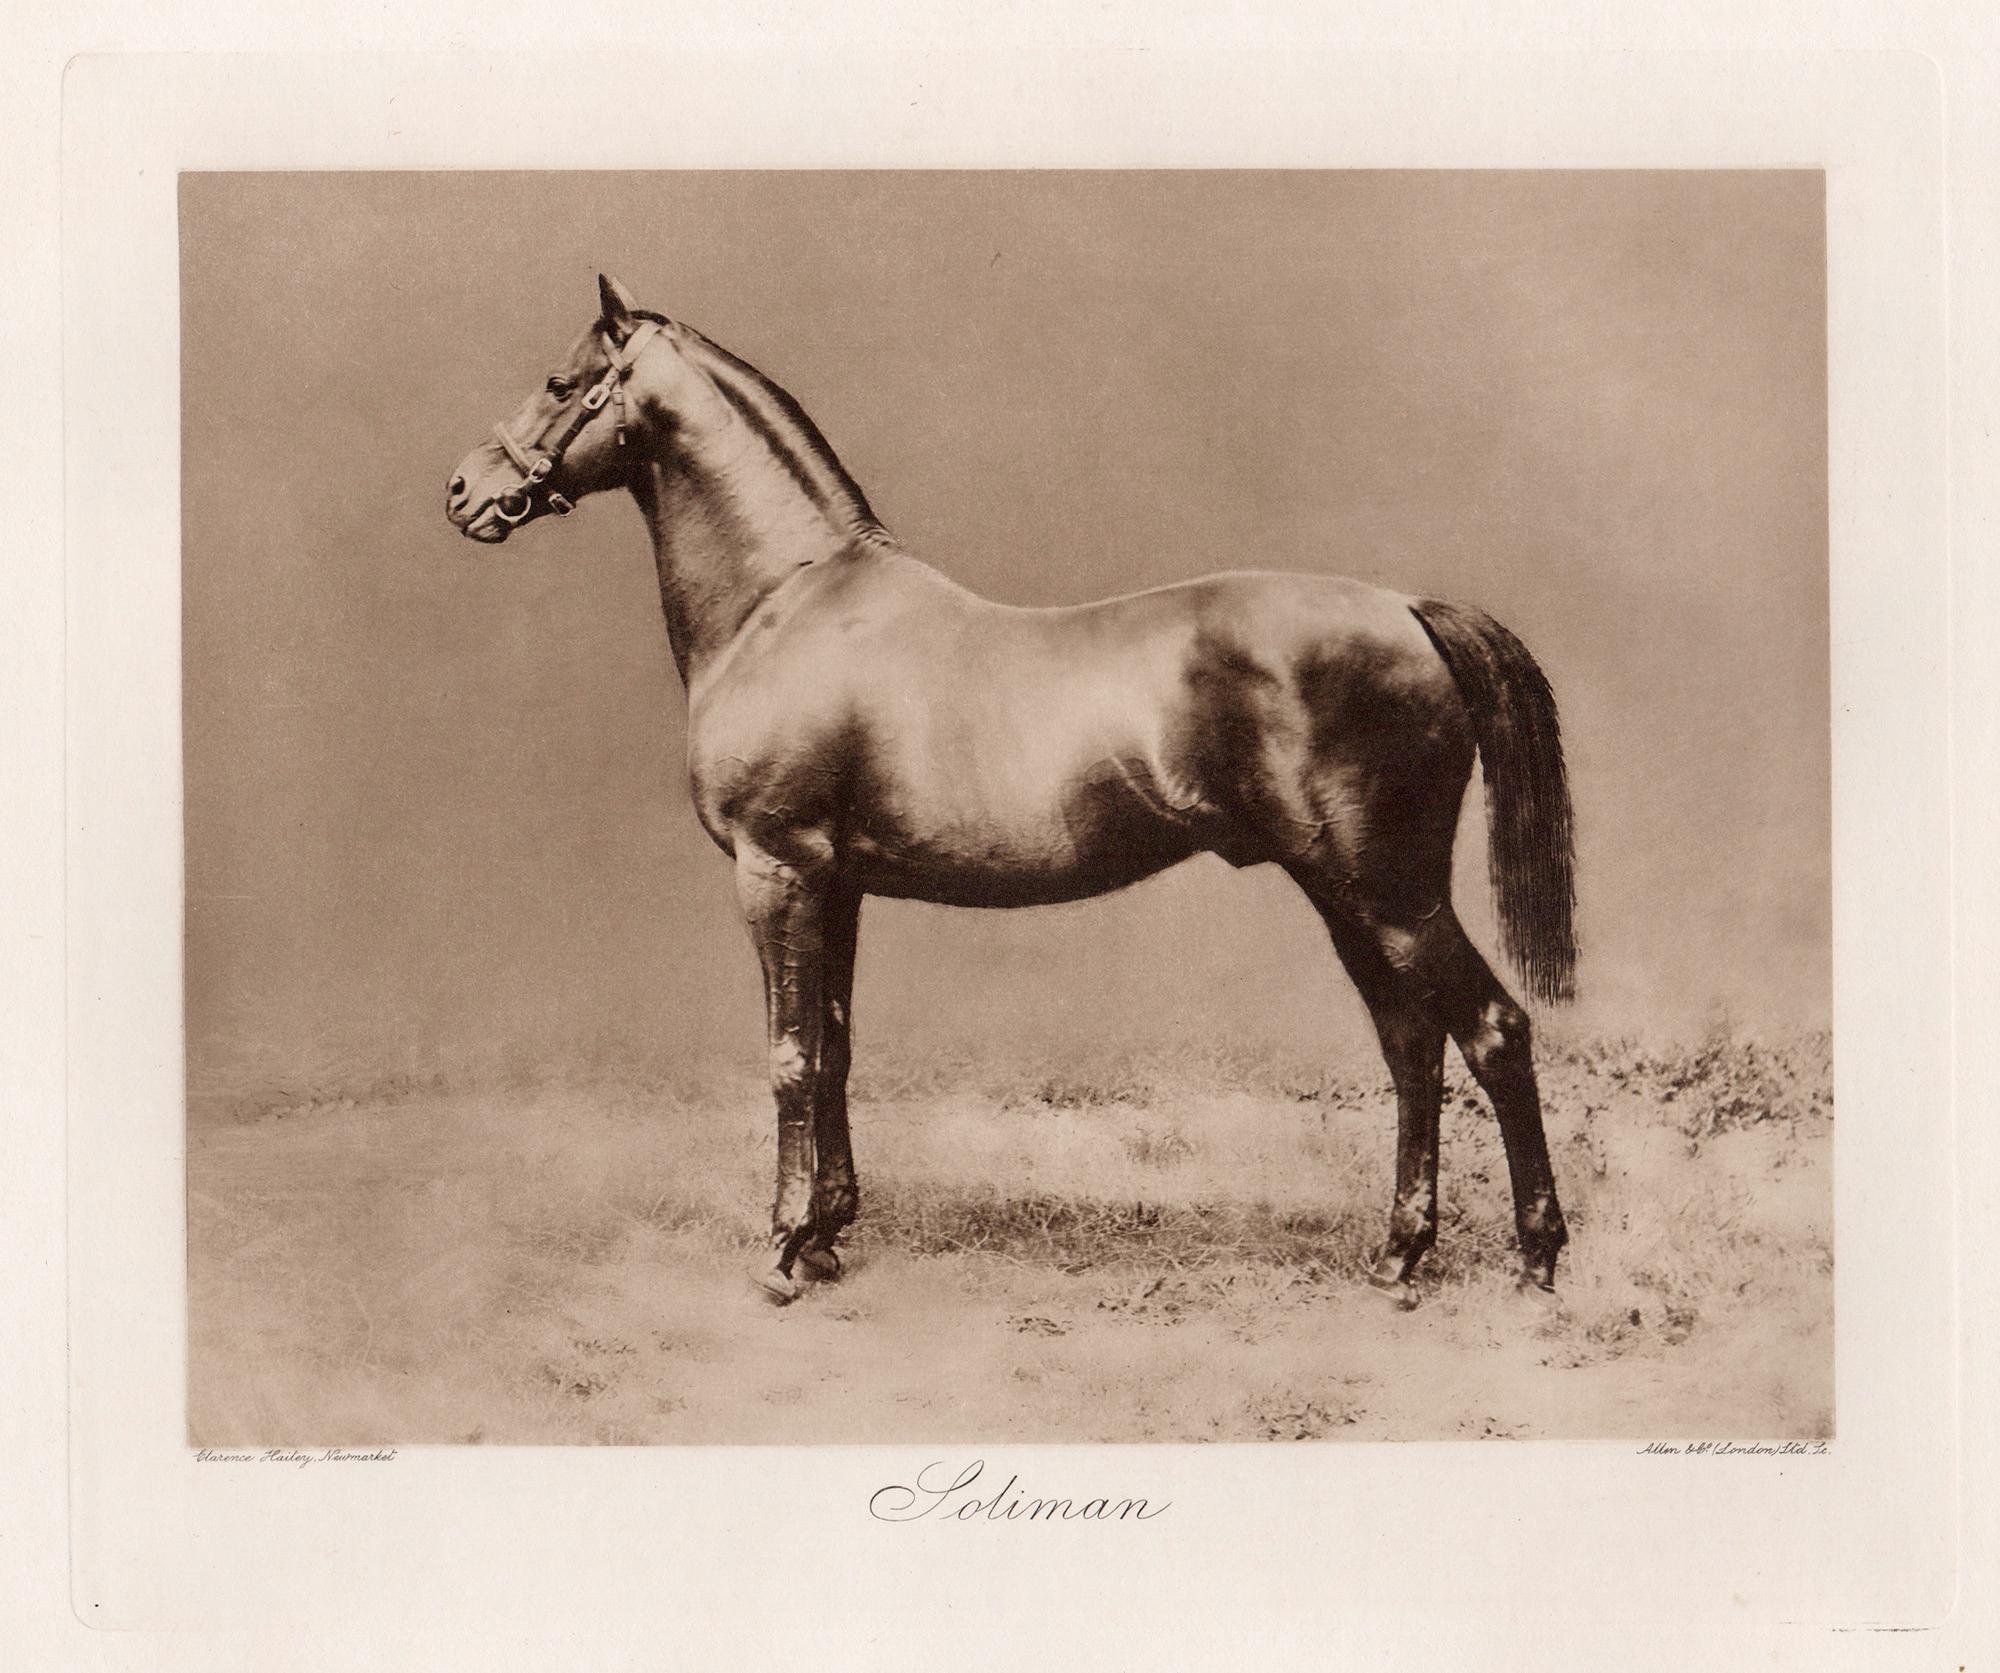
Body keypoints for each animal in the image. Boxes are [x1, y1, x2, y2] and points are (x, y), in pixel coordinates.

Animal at [446, 274, 1578, 1309]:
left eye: (562, 381)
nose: (463, 490)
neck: (787, 600)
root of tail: (1408, 609)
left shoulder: (776, 872)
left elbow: (788, 1054)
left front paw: (780, 1250)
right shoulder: (837, 884)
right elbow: (835, 1047)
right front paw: (828, 1234)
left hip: (1389, 892)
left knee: (1491, 1031)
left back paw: (1535, 1259)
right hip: (1348, 896)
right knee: (1411, 1046)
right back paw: (1398, 1256)